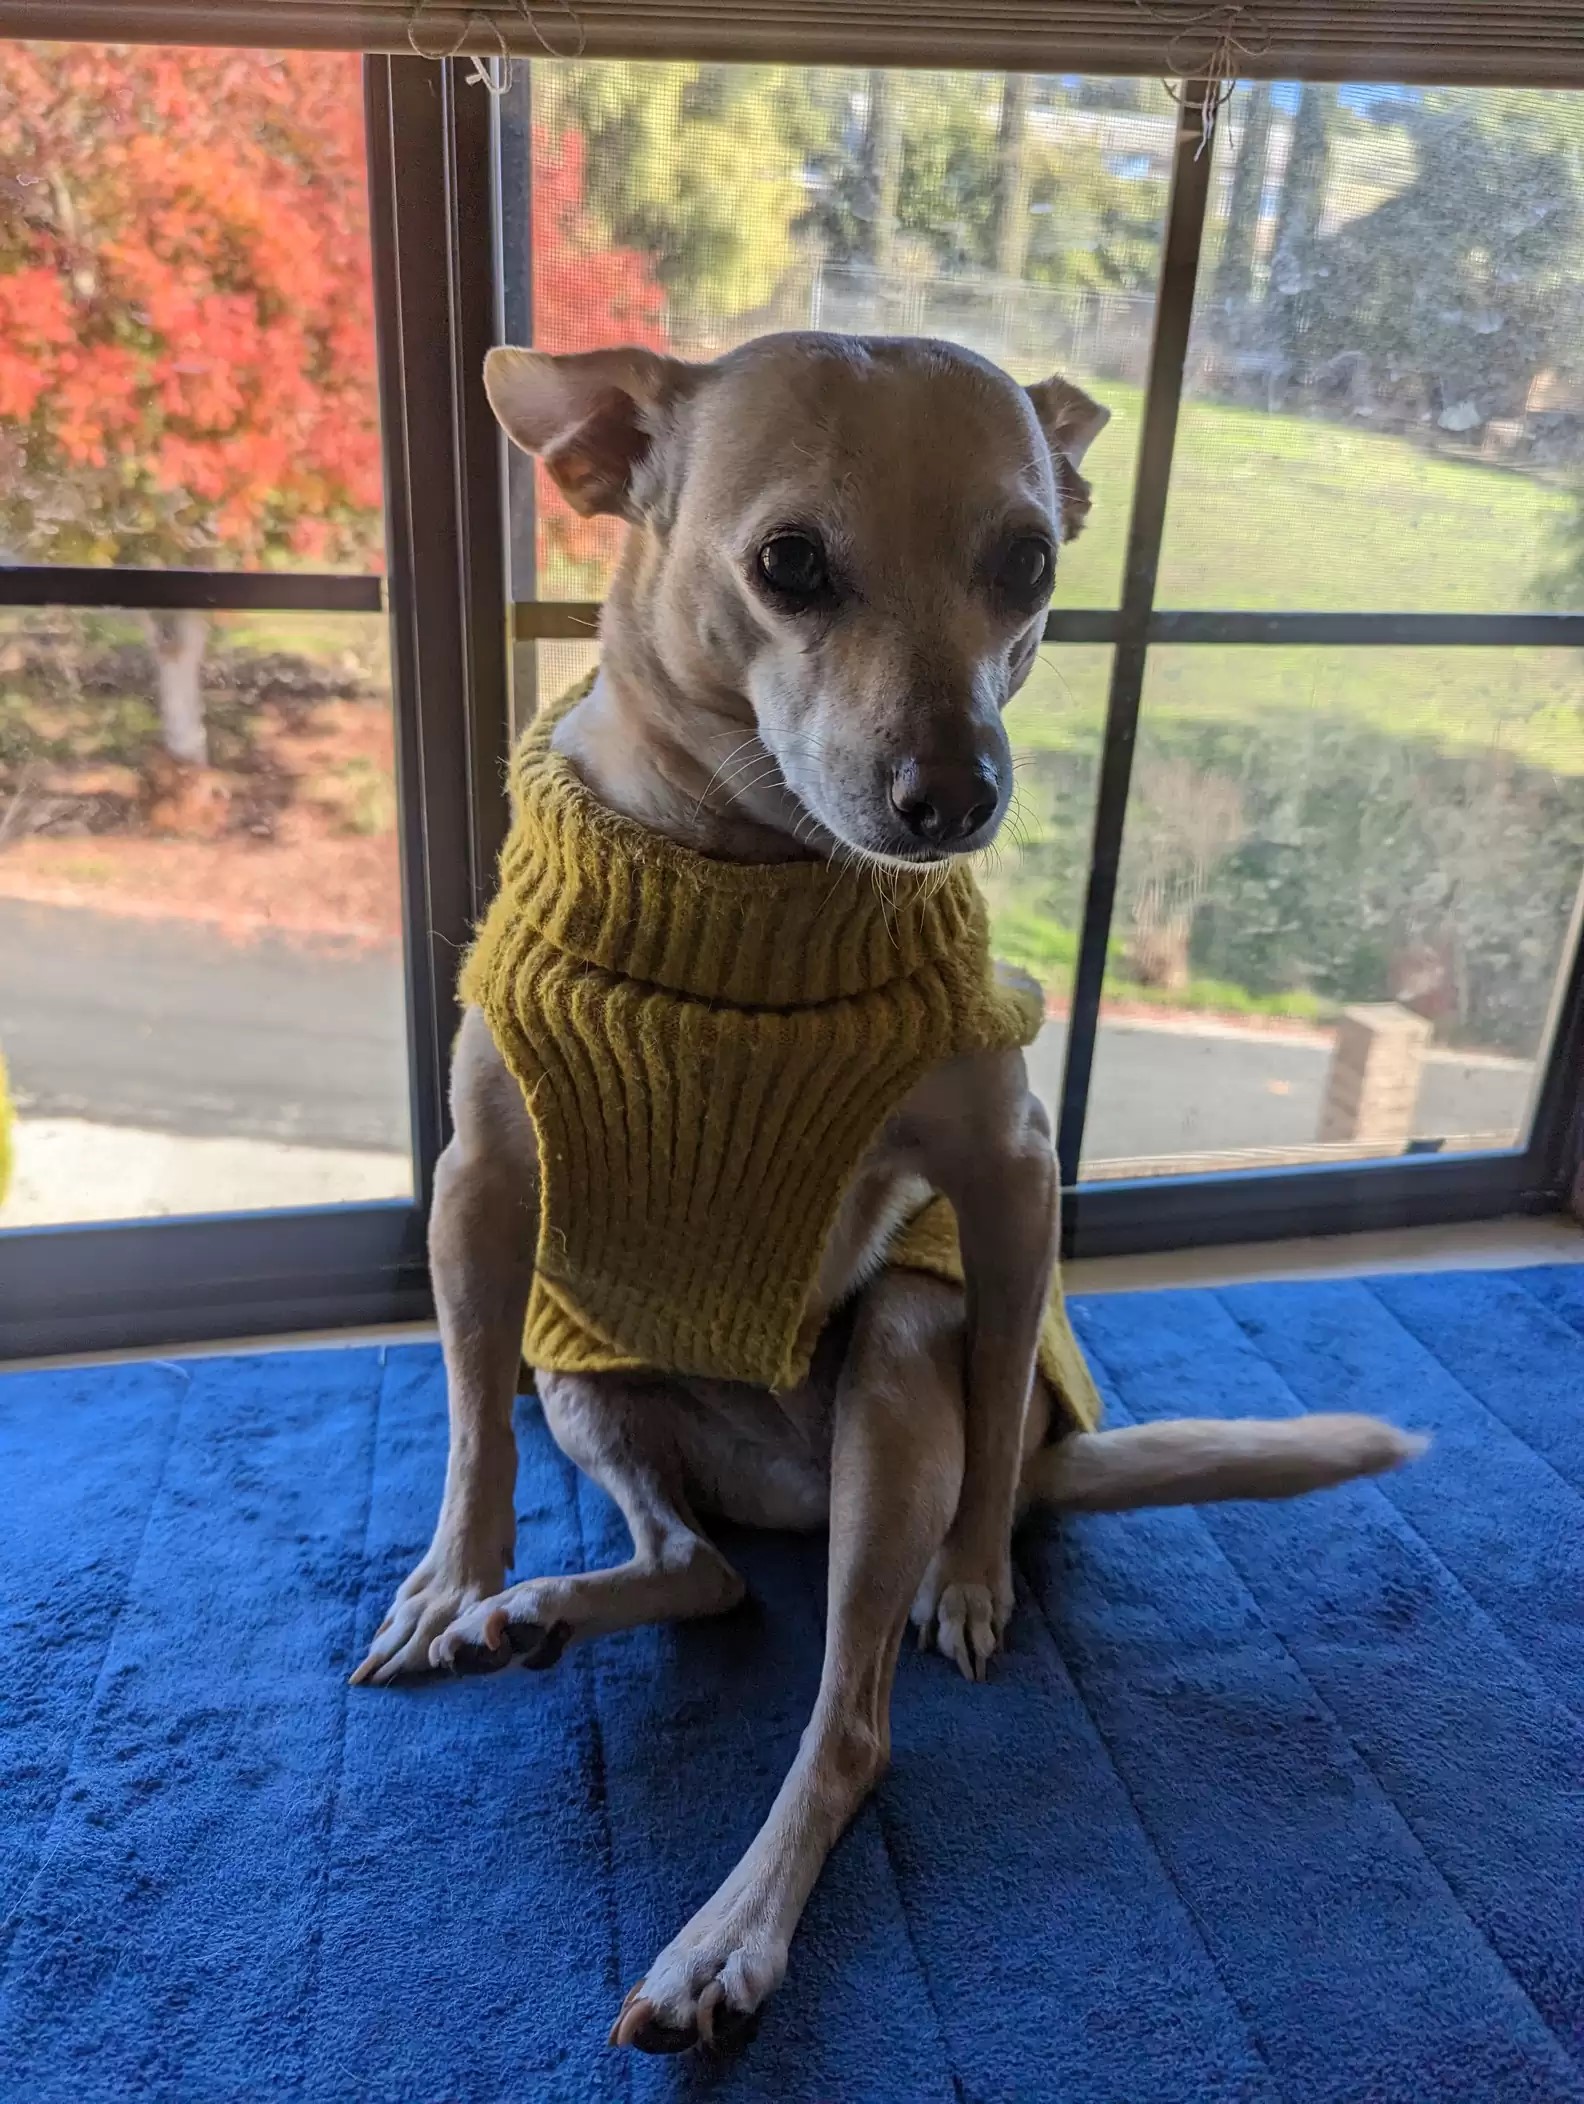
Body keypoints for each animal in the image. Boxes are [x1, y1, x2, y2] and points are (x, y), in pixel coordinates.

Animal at [349, 340, 1422, 2053]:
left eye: (1031, 563)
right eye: (789, 562)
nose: (956, 795)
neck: (741, 869)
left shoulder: (1008, 1175)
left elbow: (996, 1339)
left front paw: (977, 1581)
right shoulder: (484, 1188)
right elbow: (467, 1424)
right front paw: (457, 1580)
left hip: (896, 1384)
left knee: (852, 1716)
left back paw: (726, 1938)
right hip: (592, 1377)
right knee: (707, 1569)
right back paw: (539, 1611)